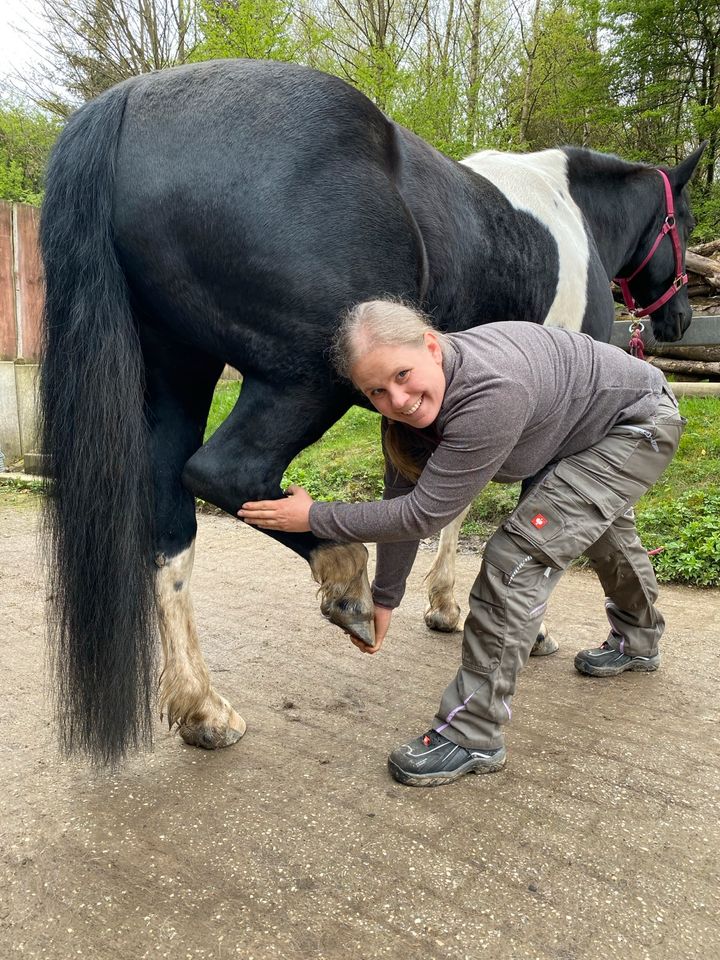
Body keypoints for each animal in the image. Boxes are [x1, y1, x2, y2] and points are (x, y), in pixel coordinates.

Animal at [40, 60, 704, 764]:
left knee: (169, 524)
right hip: (303, 383)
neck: (568, 215)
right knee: (226, 474)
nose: (679, 319)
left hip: (178, 375)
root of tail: (129, 104)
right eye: (684, 224)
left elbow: (451, 506)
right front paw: (533, 629)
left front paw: (444, 607)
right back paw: (346, 582)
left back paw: (203, 709)